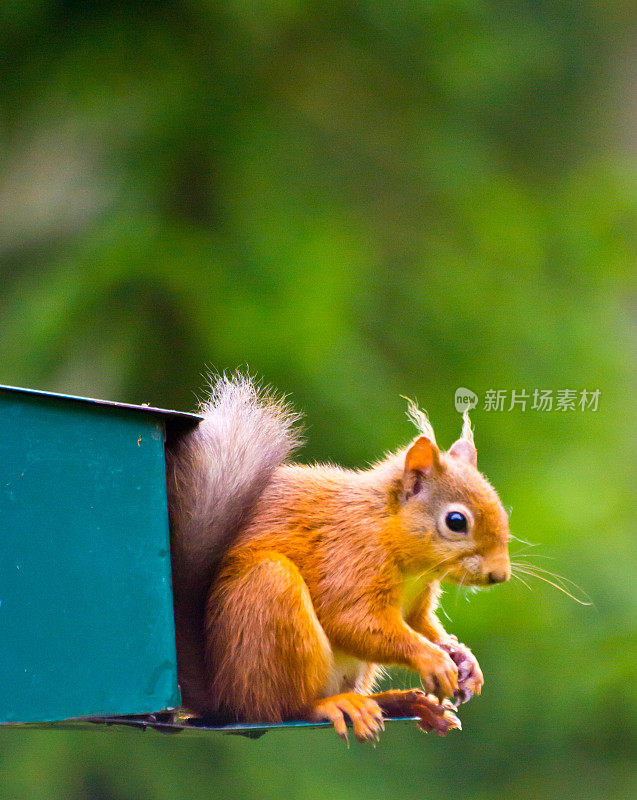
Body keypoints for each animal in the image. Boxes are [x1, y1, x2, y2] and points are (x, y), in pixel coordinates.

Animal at [166, 376, 510, 744]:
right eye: (456, 521)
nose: (499, 575)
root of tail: (223, 700)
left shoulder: (415, 605)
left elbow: (421, 626)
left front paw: (462, 657)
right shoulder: (351, 555)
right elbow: (353, 622)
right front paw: (433, 658)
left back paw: (404, 703)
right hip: (270, 597)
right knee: (283, 709)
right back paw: (333, 705)